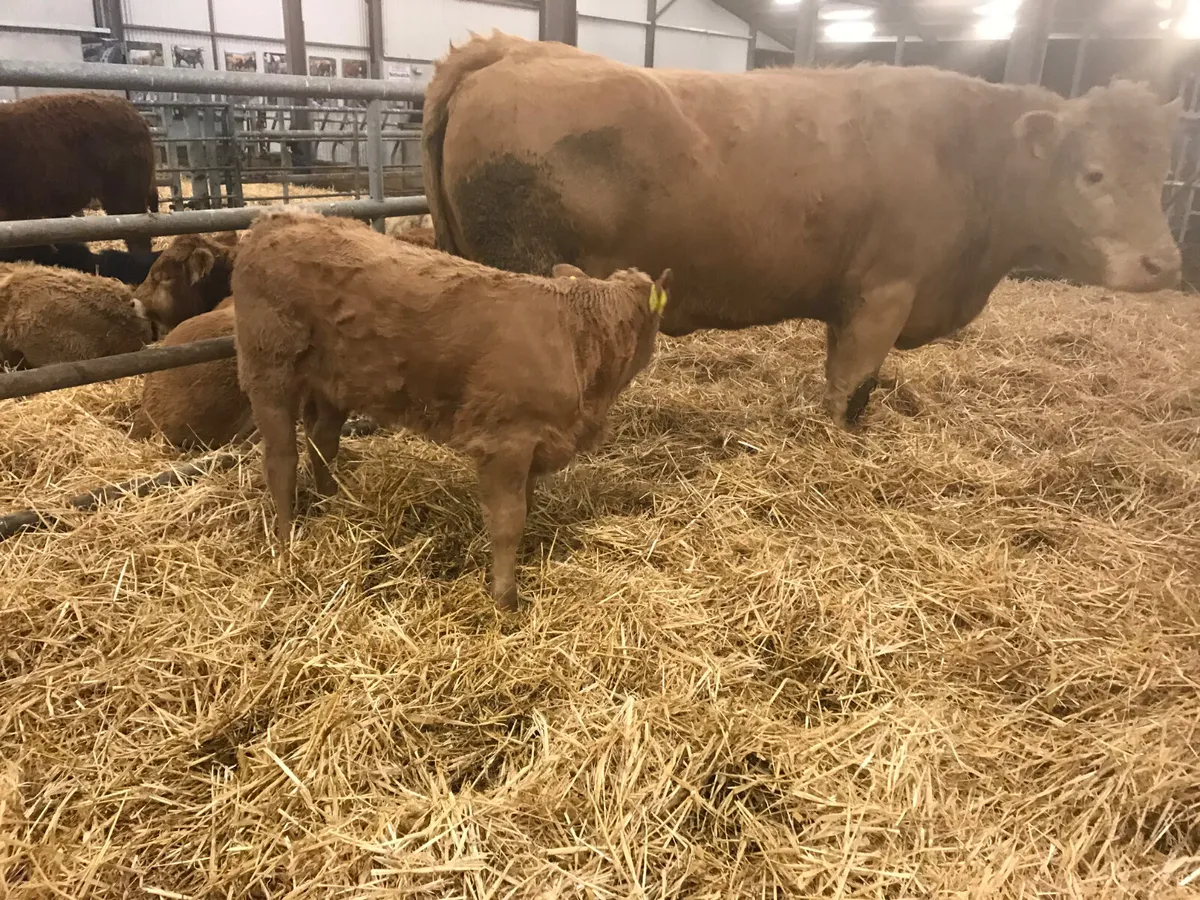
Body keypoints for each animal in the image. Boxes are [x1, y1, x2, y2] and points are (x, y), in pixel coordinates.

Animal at [232, 208, 671, 609]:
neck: (578, 336)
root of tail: (276, 219)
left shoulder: (535, 443)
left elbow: (525, 507)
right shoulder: (506, 439)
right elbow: (508, 519)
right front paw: (505, 598)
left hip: (332, 380)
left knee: (322, 441)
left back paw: (331, 505)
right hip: (268, 366)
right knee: (281, 460)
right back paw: (287, 541)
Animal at [422, 32, 1183, 427]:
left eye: (1163, 171)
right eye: (1093, 173)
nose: (1165, 263)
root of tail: (513, 48)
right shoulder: (884, 294)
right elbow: (851, 388)